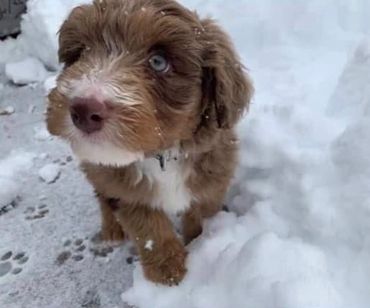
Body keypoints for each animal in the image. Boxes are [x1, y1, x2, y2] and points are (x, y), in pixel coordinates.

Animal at [46, 0, 253, 286]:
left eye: (158, 62)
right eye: (80, 54)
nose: (83, 110)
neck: (163, 153)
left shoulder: (212, 177)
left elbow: (201, 213)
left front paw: (202, 242)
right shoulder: (126, 190)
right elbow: (150, 230)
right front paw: (168, 272)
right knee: (102, 196)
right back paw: (111, 230)